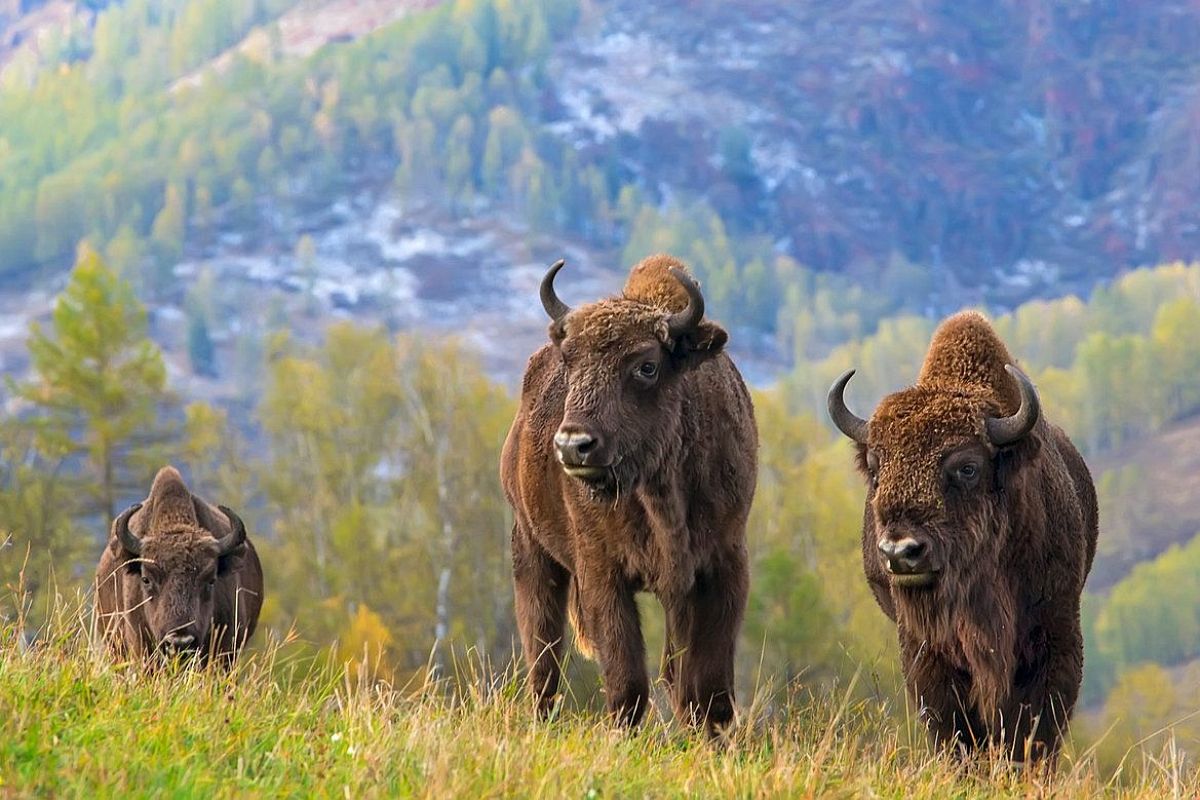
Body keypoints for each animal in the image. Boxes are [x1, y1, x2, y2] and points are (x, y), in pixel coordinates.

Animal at [501, 255, 753, 734]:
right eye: (570, 361)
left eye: (647, 366)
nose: (573, 445)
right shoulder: (602, 571)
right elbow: (627, 679)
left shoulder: (721, 566)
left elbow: (709, 687)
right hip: (531, 549)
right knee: (543, 655)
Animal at [825, 311, 1099, 762]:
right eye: (876, 466)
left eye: (967, 467)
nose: (901, 552)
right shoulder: (926, 651)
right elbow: (953, 726)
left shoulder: (1055, 635)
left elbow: (1034, 728)